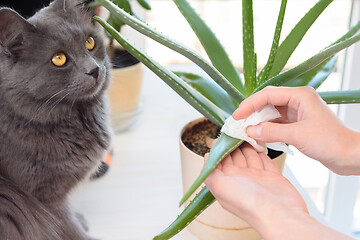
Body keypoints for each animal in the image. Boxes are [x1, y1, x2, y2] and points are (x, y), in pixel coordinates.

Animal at [0, 0, 112, 239]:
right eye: (59, 59)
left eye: (89, 42)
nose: (94, 70)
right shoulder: (44, 197)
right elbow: (68, 226)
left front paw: (82, 220)